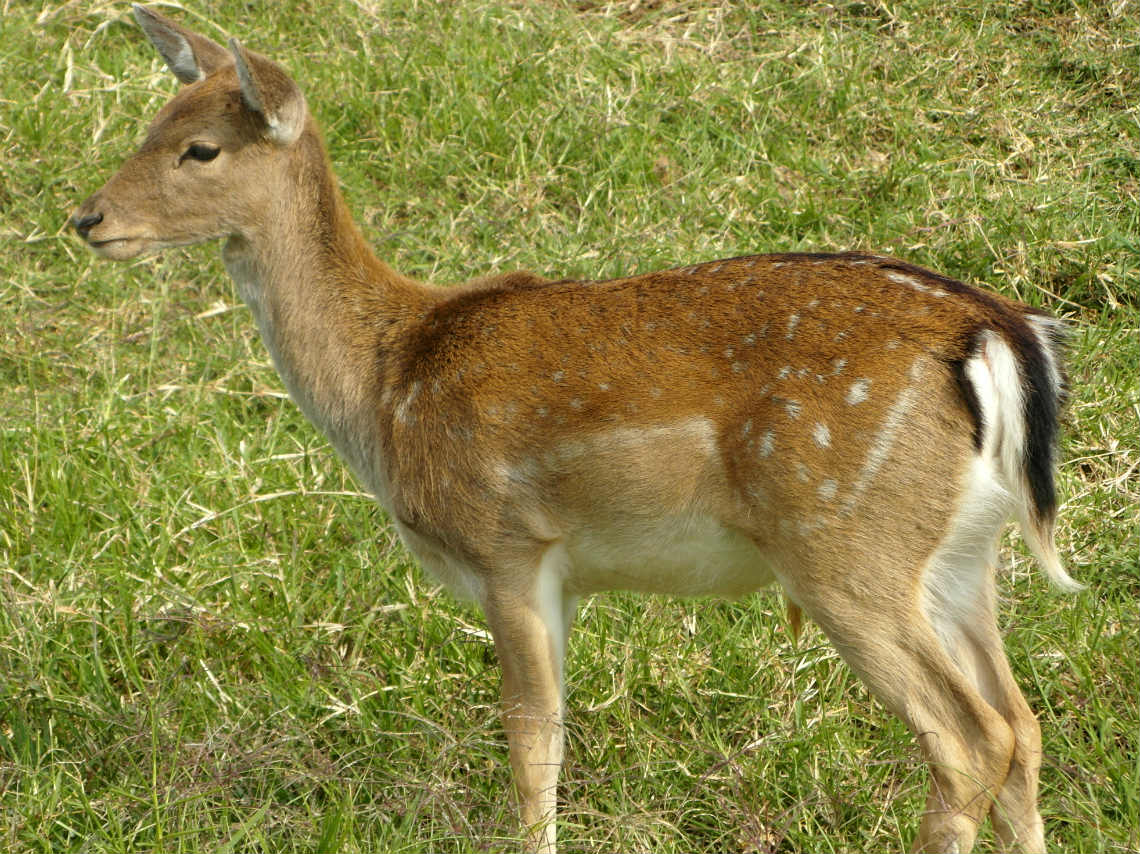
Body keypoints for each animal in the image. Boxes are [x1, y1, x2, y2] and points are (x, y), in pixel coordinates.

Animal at [71, 8, 1076, 852]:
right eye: (150, 123)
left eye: (199, 149)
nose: (88, 217)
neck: (387, 386)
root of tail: (997, 334)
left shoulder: (508, 543)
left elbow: (531, 749)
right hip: (959, 556)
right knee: (1022, 727)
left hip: (845, 543)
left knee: (969, 738)